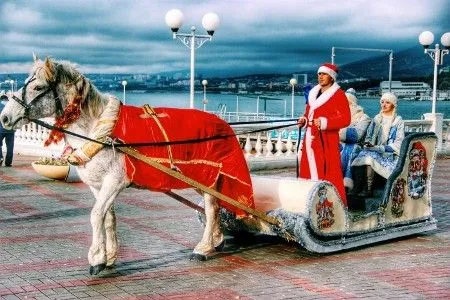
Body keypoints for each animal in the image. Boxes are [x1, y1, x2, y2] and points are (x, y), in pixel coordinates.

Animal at [0, 56, 255, 274]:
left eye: (38, 87)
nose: (4, 118)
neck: (99, 129)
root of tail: (223, 123)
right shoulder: (98, 185)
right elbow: (108, 217)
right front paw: (110, 256)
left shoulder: (115, 181)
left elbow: (96, 215)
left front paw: (96, 258)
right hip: (204, 179)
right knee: (216, 206)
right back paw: (216, 240)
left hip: (208, 176)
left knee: (211, 208)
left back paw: (203, 248)